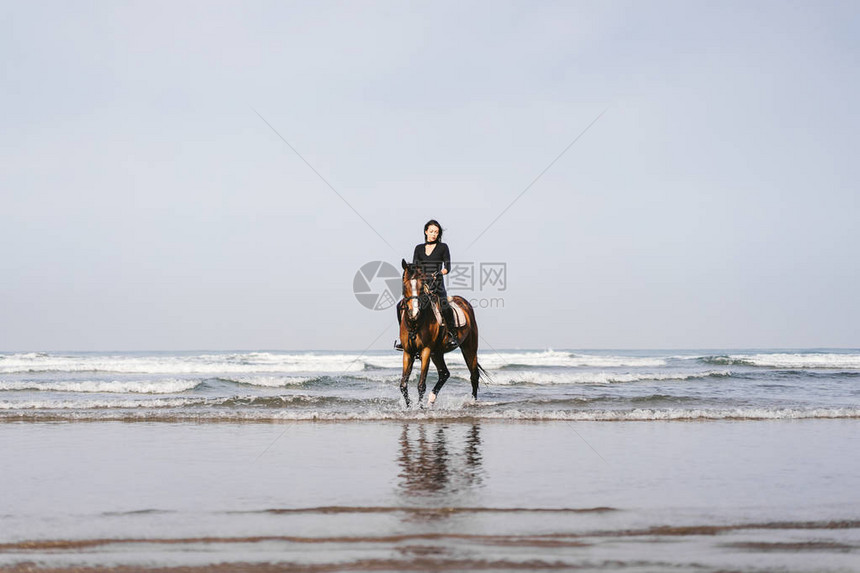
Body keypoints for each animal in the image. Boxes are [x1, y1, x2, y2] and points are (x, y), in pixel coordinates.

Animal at [398, 260, 484, 406]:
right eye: (404, 285)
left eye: (422, 286)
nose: (414, 313)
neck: (415, 323)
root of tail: (464, 302)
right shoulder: (408, 352)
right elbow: (403, 385)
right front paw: (409, 407)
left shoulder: (426, 351)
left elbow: (421, 385)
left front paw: (420, 408)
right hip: (437, 353)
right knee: (445, 373)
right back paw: (432, 399)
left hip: (469, 348)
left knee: (474, 375)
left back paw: (473, 402)